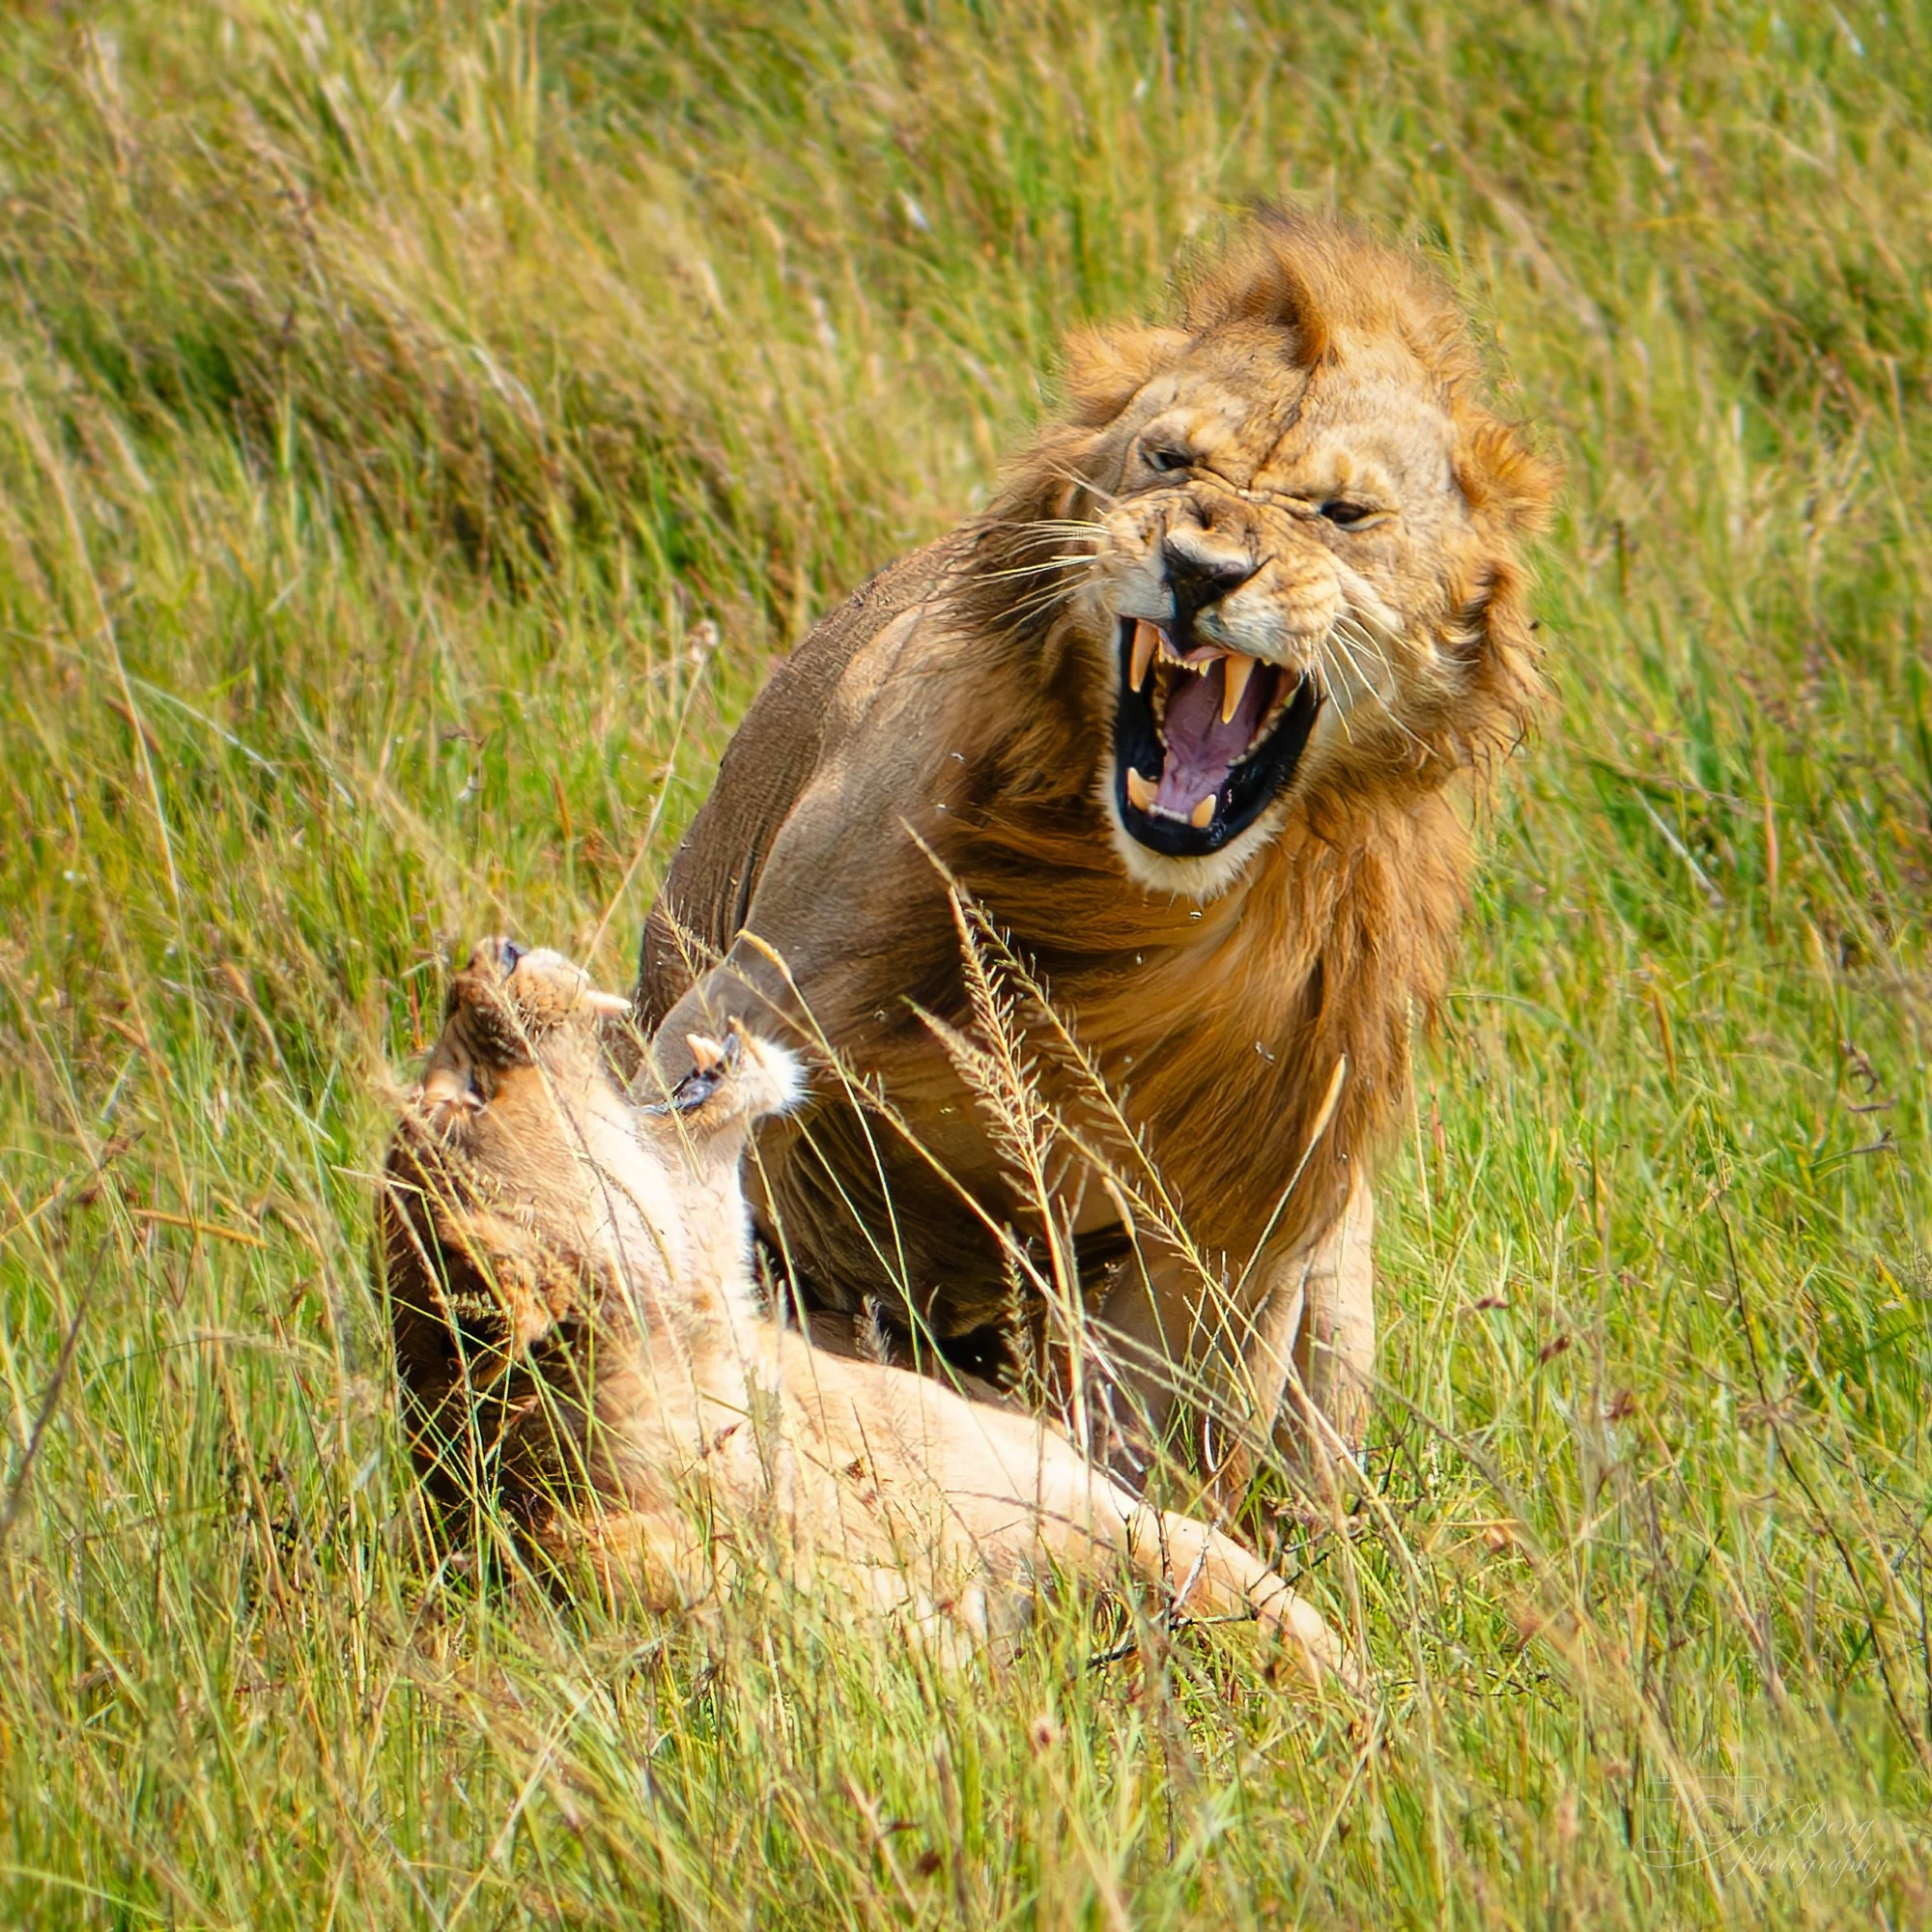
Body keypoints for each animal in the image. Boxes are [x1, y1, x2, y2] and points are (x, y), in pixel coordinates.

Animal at [379, 938, 1350, 1689]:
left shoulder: (1069, 1499)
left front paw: (1356, 1714)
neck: (733, 1382)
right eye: (470, 1091)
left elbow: (1260, 1606)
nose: (487, 955)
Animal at [634, 207, 1555, 1478]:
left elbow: (1153, 1445)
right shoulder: (736, 1011)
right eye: (1168, 461)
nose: (1201, 570)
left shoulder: (1236, 1214)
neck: (1137, 901)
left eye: (1342, 514)